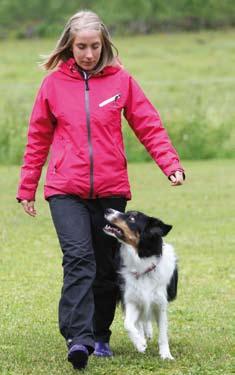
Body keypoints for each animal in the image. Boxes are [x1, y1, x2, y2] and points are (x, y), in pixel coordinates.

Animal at [103, 210, 177, 360]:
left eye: (132, 218)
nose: (108, 210)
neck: (143, 265)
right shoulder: (132, 300)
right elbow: (128, 324)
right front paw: (139, 343)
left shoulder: (160, 303)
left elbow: (163, 333)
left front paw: (166, 355)